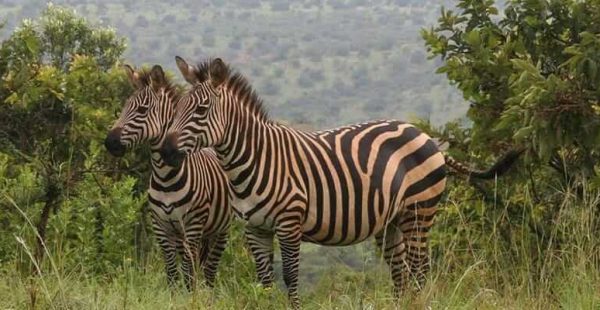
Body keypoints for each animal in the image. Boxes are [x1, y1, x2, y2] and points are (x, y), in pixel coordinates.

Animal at [104, 65, 231, 290]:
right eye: (125, 106)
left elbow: (189, 271)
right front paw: (175, 295)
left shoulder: (192, 225)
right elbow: (172, 270)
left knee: (209, 270)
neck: (165, 178)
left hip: (220, 230)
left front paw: (190, 295)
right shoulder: (161, 226)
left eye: (142, 110)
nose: (109, 142)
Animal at [161, 57, 520, 308]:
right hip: (392, 222)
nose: (166, 150)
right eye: (176, 107)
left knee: (420, 270)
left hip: (419, 212)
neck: (253, 159)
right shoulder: (255, 228)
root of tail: (425, 136)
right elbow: (264, 280)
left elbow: (290, 276)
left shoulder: (289, 223)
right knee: (400, 272)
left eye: (201, 109)